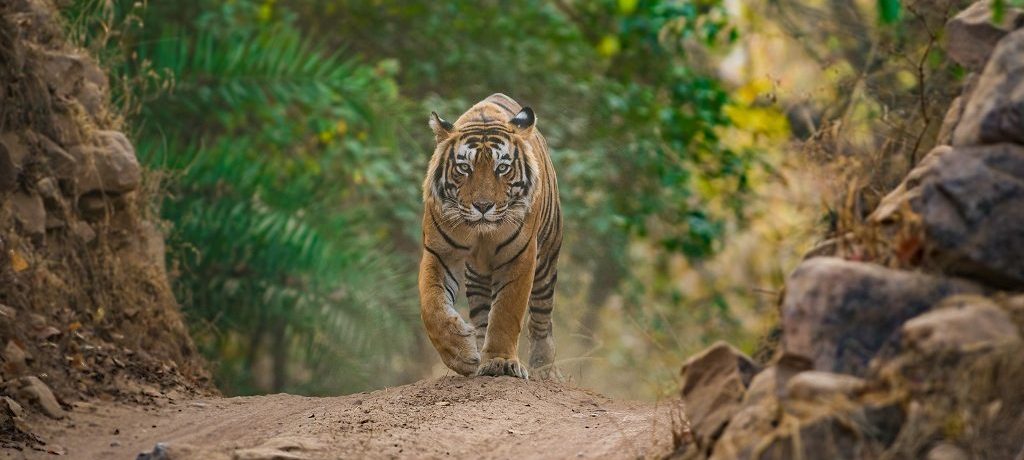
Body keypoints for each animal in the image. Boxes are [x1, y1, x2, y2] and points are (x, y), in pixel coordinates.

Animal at [417, 93, 569, 381]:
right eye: (464, 167)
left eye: (502, 168)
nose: (483, 206)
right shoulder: (439, 253)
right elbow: (432, 306)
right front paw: (462, 355)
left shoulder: (519, 257)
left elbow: (507, 312)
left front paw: (500, 362)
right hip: (476, 274)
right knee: (481, 313)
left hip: (546, 261)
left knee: (542, 316)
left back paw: (545, 369)